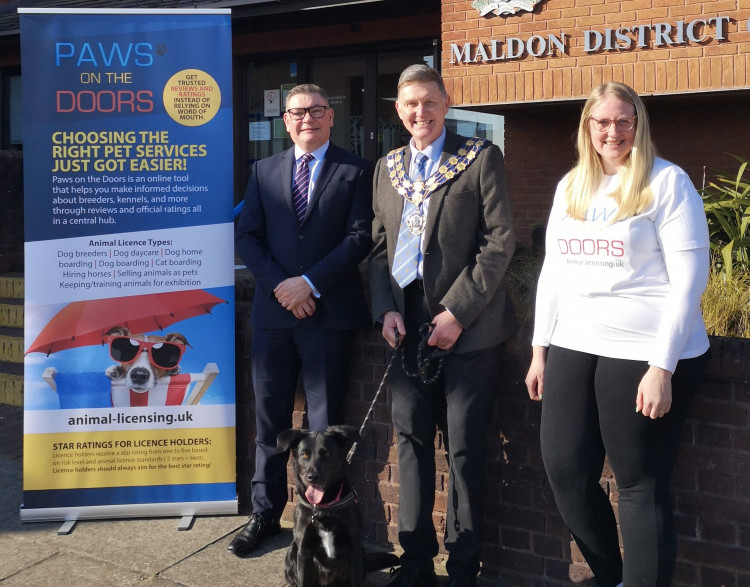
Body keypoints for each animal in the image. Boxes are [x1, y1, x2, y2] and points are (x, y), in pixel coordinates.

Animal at [280, 428, 400, 587]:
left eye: (326, 454)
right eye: (304, 455)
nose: (312, 476)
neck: (324, 508)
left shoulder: (355, 547)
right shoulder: (304, 551)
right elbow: (303, 580)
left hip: (361, 553)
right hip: (293, 549)